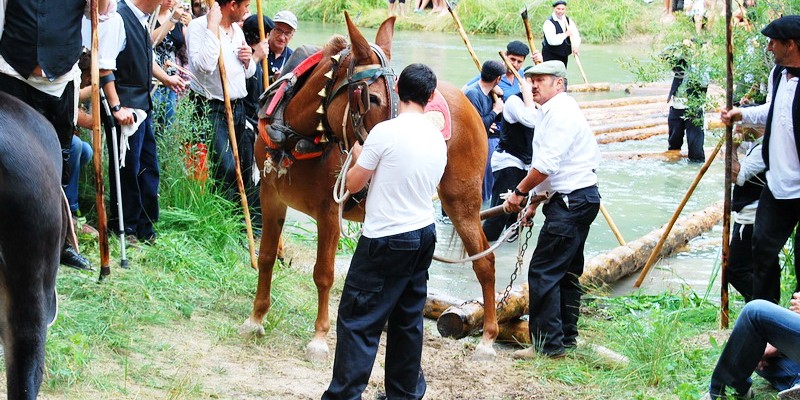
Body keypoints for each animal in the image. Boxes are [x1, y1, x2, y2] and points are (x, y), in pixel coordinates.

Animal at [239, 14, 500, 360]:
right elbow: (267, 256)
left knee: (485, 262)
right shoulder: (271, 198)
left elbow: (324, 273)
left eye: (398, 95)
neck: (296, 138)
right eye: (371, 98)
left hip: (461, 201)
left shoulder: (329, 211)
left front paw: (319, 338)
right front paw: (256, 318)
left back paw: (487, 339)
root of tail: (469, 104)